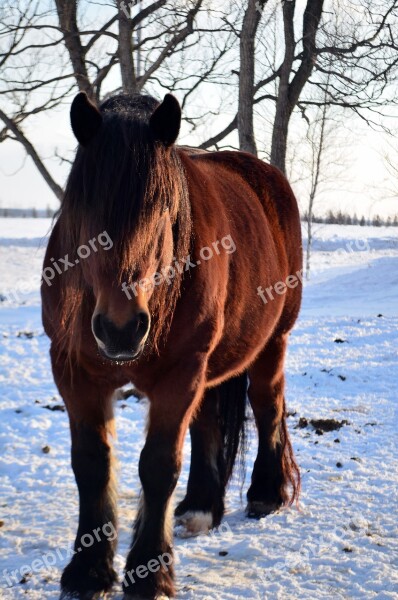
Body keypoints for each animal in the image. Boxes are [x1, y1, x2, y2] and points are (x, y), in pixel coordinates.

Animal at [40, 91, 302, 596]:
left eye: (161, 211)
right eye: (83, 211)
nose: (120, 330)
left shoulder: (179, 372)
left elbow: (159, 465)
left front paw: (149, 570)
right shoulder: (74, 372)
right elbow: (91, 463)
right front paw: (88, 569)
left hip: (271, 343)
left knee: (267, 406)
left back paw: (264, 494)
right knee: (208, 422)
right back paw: (200, 507)